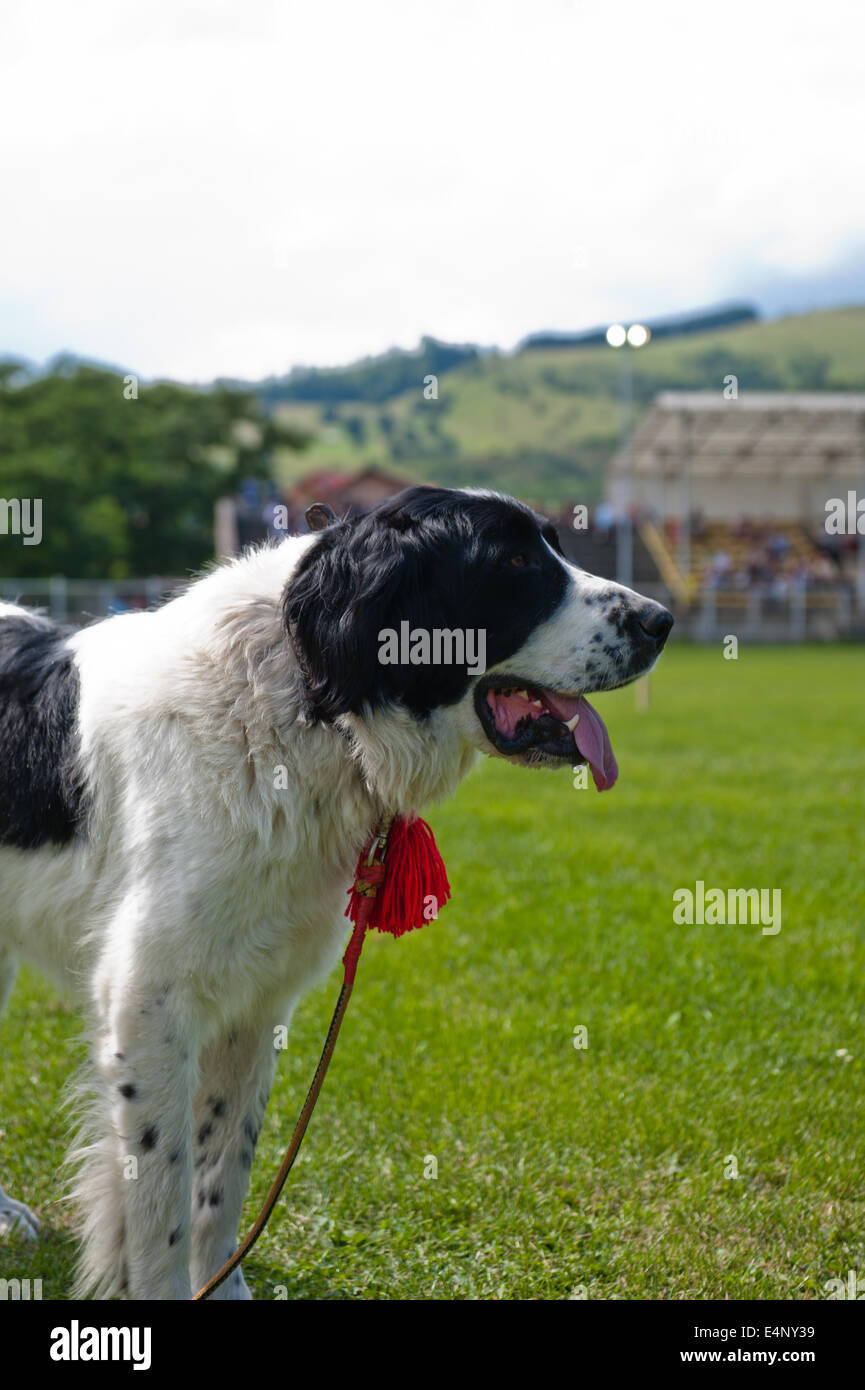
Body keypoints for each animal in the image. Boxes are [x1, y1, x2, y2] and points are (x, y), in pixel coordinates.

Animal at [0, 483, 675, 1295]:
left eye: (554, 546)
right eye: (512, 562)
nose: (661, 620)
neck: (301, 705)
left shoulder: (255, 1003)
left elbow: (223, 1171)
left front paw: (224, 1287)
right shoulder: (148, 999)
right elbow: (160, 1195)